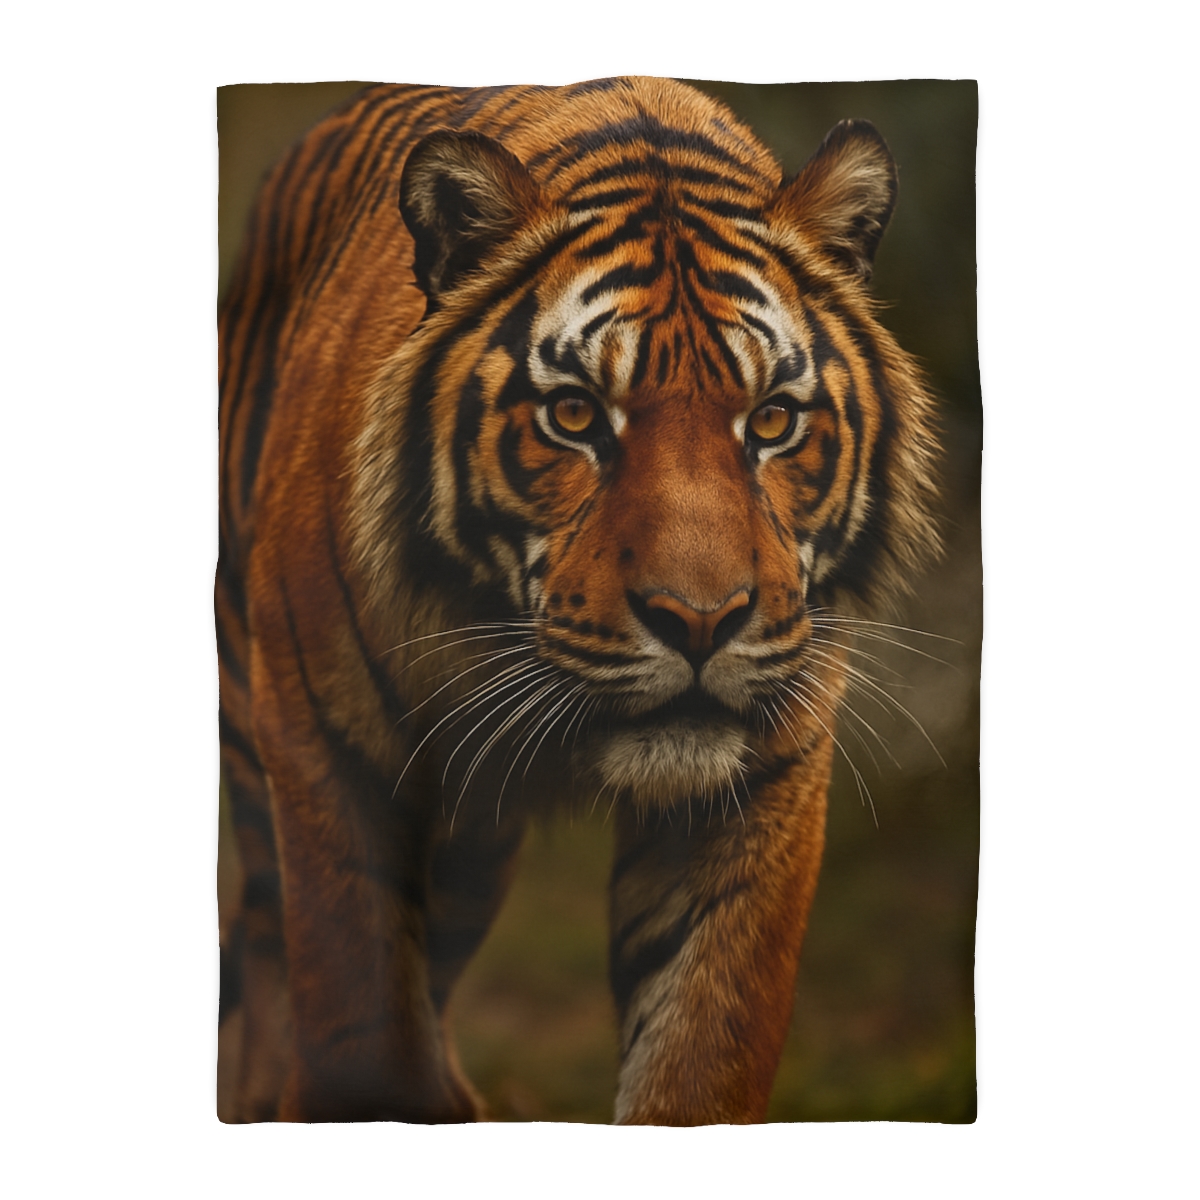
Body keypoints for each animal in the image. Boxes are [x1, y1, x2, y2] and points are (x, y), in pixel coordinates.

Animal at [217, 77, 940, 1125]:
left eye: (771, 421)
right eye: (573, 416)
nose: (700, 622)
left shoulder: (762, 784)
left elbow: (698, 1060)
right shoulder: (328, 756)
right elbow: (352, 1016)